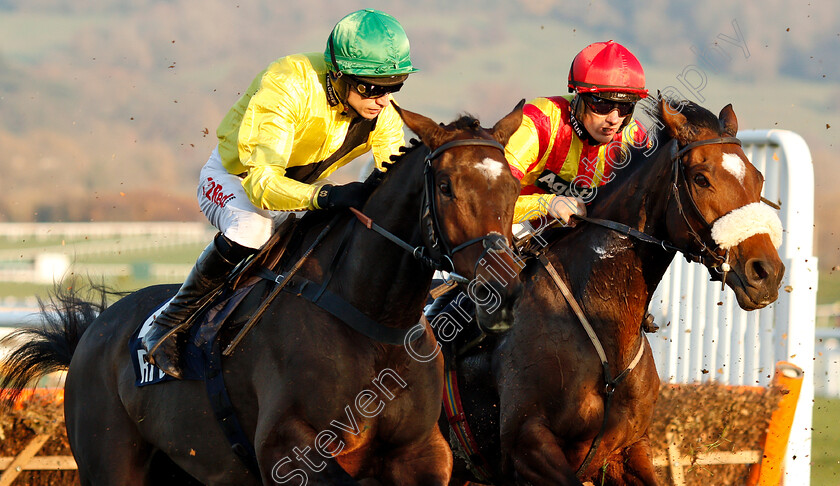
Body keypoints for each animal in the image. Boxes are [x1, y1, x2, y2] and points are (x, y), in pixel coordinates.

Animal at [1, 104, 524, 484]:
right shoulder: (288, 450)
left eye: (515, 186)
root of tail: (95, 330)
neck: (372, 325)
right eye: (446, 185)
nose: (502, 289)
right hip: (111, 460)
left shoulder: (422, 453)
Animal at [442, 98, 784, 486]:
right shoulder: (526, 446)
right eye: (701, 178)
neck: (602, 326)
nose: (767, 273)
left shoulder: (627, 449)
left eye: (758, 178)